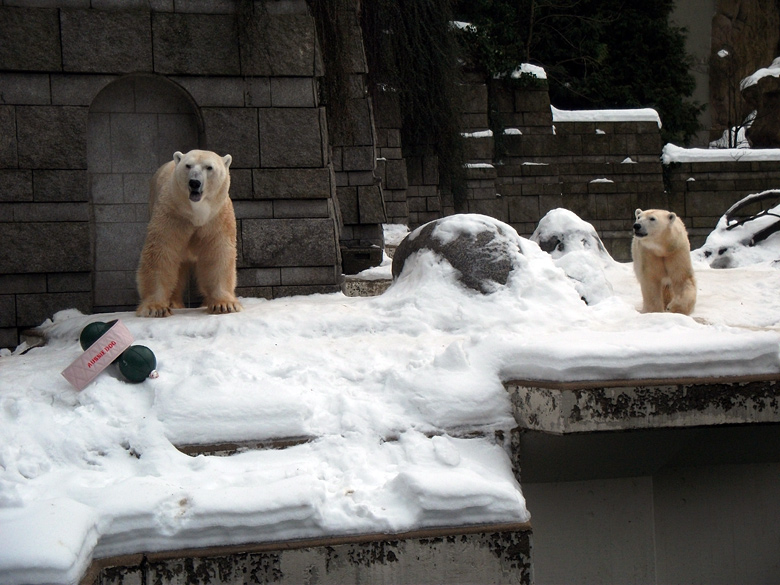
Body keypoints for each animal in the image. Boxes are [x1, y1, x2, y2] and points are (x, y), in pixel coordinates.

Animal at [136, 148, 242, 318]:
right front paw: (155, 308)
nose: (194, 182)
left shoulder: (217, 218)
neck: (197, 214)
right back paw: (174, 302)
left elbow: (218, 253)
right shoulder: (172, 214)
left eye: (209, 167)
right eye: (188, 165)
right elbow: (161, 252)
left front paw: (224, 305)